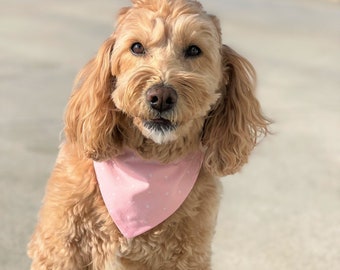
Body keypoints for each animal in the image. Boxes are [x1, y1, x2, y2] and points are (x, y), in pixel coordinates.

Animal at [27, 0, 268, 268]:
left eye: (194, 50)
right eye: (136, 47)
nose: (161, 96)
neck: (150, 161)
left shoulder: (190, 254)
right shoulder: (60, 248)